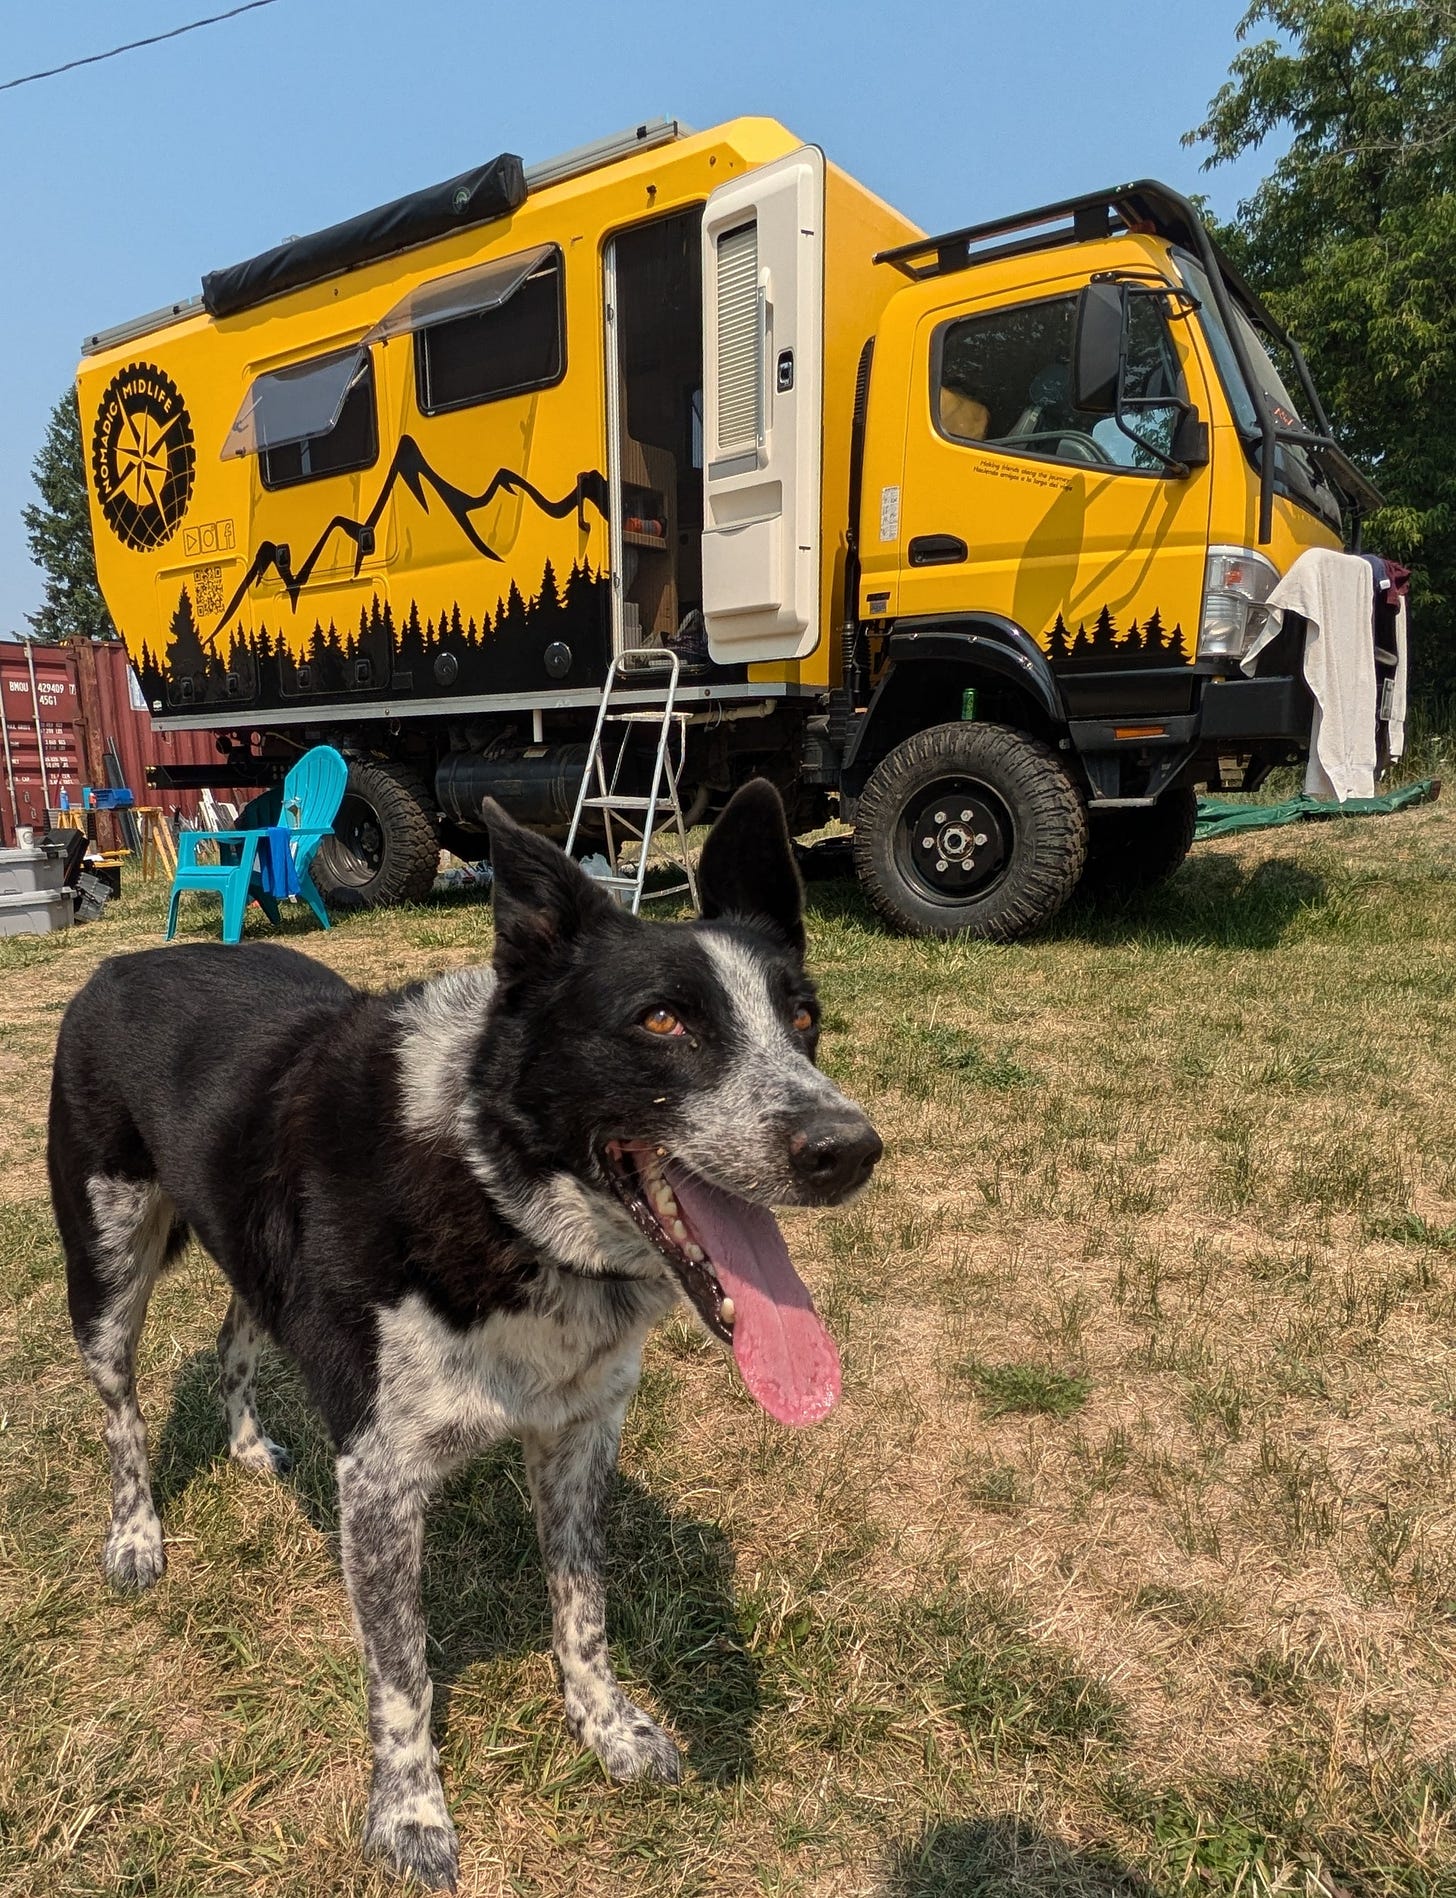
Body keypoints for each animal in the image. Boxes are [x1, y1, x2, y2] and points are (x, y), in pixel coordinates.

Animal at [51, 778, 880, 1890]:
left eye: (803, 1019)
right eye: (662, 1019)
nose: (849, 1149)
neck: (497, 1184)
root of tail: (122, 958)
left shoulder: (579, 1436)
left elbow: (582, 1605)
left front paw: (608, 1728)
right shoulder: (381, 1478)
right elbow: (401, 1674)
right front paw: (409, 1816)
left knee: (235, 1331)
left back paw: (247, 1444)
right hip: (105, 1270)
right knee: (123, 1418)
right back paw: (136, 1535)